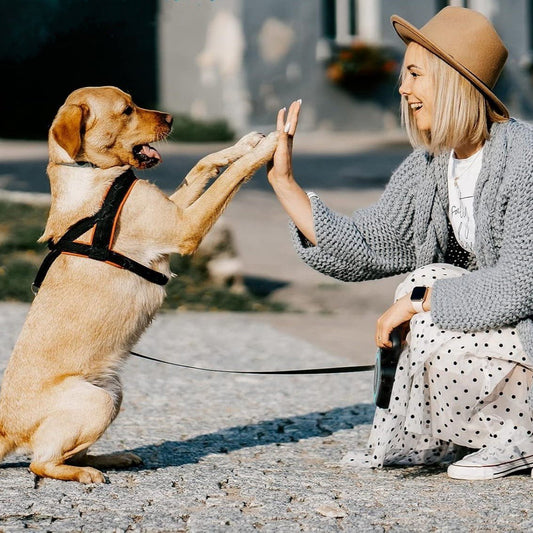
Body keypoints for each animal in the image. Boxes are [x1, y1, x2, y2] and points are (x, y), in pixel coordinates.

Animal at [0, 86, 276, 482]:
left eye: (132, 101)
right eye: (127, 110)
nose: (172, 118)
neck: (93, 175)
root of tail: (6, 425)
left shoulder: (175, 209)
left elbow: (203, 164)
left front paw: (245, 143)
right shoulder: (184, 226)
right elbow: (230, 178)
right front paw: (268, 148)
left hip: (113, 392)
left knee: (72, 452)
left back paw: (111, 459)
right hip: (97, 400)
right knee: (41, 461)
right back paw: (85, 474)